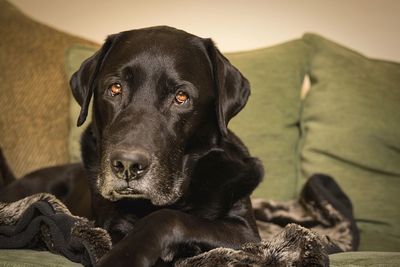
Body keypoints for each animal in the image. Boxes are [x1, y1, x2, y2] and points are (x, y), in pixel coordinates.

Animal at [2, 25, 266, 267]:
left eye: (181, 97)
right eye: (115, 88)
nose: (127, 165)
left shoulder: (246, 233)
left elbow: (168, 217)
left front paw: (124, 257)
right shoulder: (112, 223)